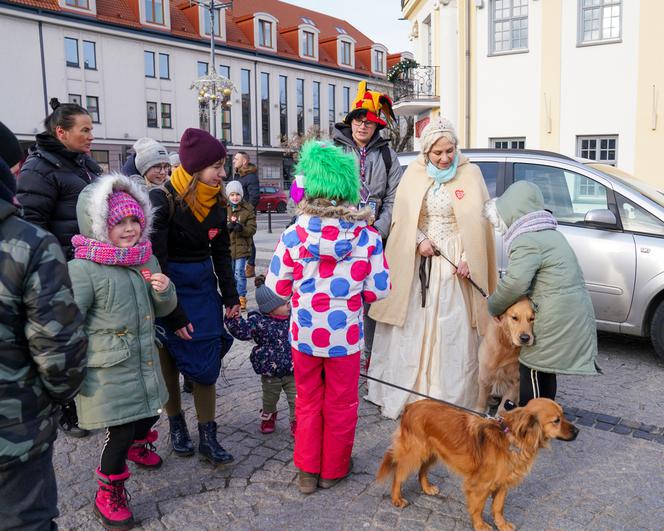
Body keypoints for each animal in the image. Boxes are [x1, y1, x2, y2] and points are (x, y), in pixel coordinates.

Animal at [376, 400, 580, 531]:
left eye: (563, 416)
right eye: (556, 420)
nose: (578, 431)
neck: (512, 439)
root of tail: (411, 406)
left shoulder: (503, 484)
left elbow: (498, 507)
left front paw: (502, 525)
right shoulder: (482, 484)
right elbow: (479, 506)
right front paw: (480, 525)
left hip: (432, 453)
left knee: (422, 471)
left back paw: (426, 488)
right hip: (415, 453)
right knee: (399, 474)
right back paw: (397, 498)